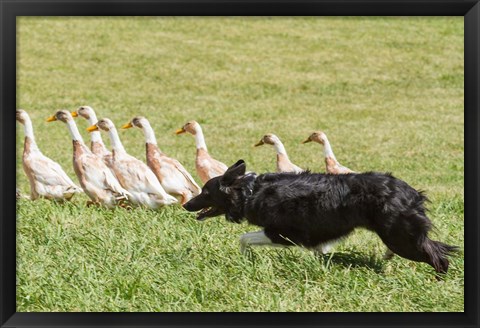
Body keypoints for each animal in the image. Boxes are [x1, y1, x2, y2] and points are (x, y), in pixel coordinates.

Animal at [184, 160, 458, 274]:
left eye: (205, 192)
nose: (186, 204)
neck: (250, 192)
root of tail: (412, 192)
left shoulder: (283, 233)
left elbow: (243, 238)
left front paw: (244, 257)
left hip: (401, 238)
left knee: (440, 257)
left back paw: (438, 281)